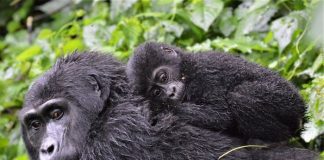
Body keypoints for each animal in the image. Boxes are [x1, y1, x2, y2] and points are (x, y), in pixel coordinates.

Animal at [126, 42, 306, 142]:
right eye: (156, 92)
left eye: (163, 77)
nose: (171, 92)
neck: (186, 69)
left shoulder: (205, 74)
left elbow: (220, 115)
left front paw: (157, 109)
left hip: (287, 100)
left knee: (241, 96)